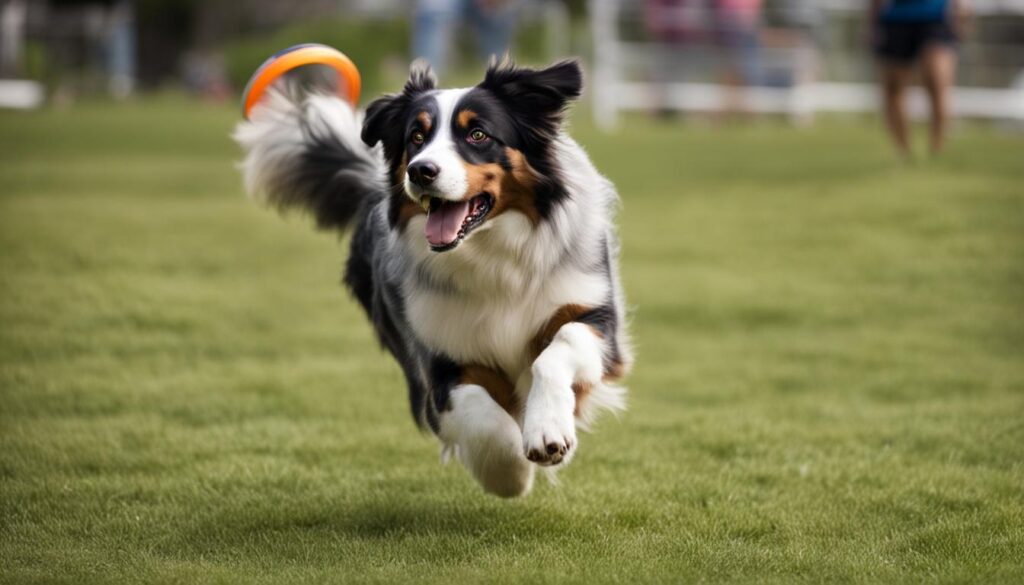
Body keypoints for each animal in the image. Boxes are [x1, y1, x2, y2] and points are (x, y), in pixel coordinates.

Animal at [234, 58, 630, 499]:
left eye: (478, 134)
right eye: (416, 138)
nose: (420, 170)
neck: (491, 254)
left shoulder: (594, 315)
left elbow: (556, 350)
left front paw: (547, 432)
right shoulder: (439, 356)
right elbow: (479, 416)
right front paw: (510, 472)